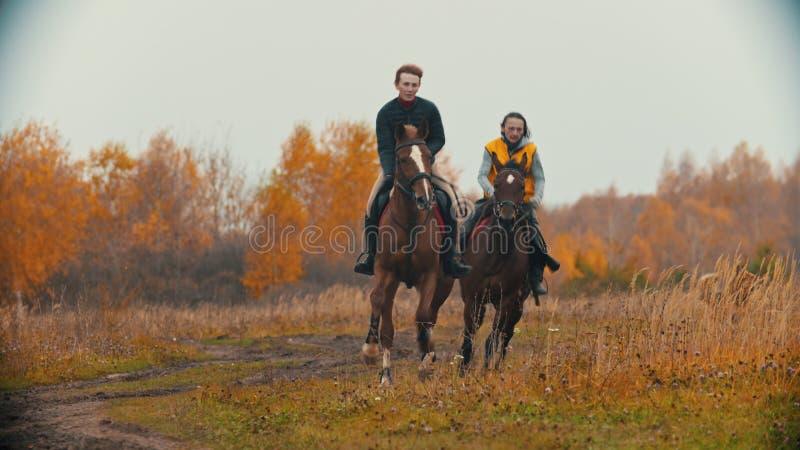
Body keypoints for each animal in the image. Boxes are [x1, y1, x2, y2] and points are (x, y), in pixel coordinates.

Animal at [360, 122, 454, 384]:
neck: (411, 220)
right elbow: (380, 310)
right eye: (402, 159)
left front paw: (425, 362)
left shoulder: (430, 275)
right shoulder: (386, 272)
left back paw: (428, 355)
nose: (425, 198)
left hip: (444, 284)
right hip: (392, 282)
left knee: (430, 315)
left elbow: (422, 315)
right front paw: (383, 372)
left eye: (428, 156)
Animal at [456, 154, 536, 372]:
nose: (507, 219)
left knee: (506, 335)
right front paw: (462, 370)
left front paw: (486, 370)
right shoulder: (472, 299)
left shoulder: (506, 300)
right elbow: (469, 338)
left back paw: (498, 366)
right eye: (497, 185)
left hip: (517, 305)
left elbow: (492, 339)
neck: (495, 256)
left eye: (522, 187)